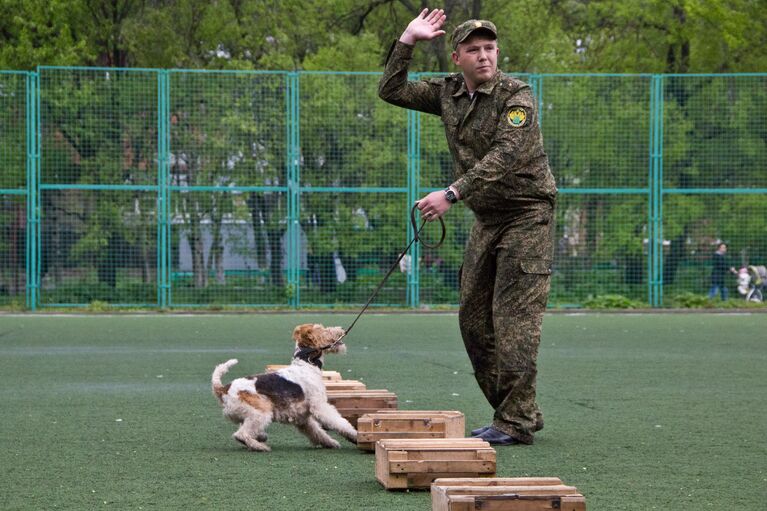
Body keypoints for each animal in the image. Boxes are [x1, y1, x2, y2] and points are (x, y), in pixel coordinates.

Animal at [212, 324, 358, 452]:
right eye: (321, 329)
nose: (342, 329)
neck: (307, 363)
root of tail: (223, 389)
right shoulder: (320, 407)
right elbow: (341, 423)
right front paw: (355, 435)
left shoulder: (303, 418)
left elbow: (317, 432)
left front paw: (331, 443)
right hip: (261, 412)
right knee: (241, 434)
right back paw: (260, 447)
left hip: (248, 414)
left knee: (245, 429)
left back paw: (261, 437)